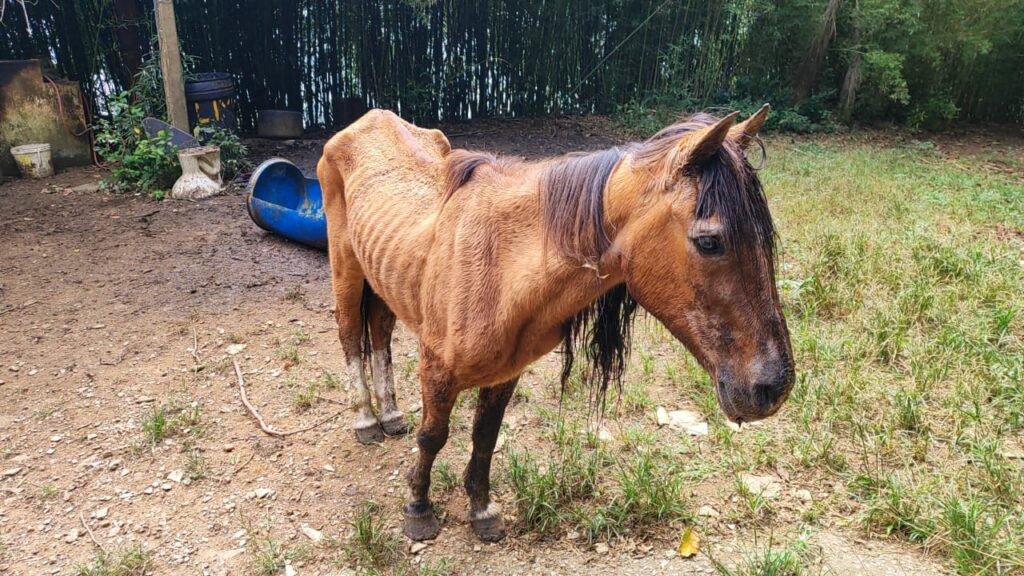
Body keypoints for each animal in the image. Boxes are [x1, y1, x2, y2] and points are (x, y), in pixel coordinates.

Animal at [316, 105, 794, 543]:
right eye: (709, 242)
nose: (774, 387)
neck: (501, 265)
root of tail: (369, 119)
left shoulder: (504, 374)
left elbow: (484, 438)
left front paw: (482, 511)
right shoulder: (436, 369)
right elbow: (433, 436)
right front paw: (418, 509)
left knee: (379, 333)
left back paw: (390, 414)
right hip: (347, 268)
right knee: (350, 336)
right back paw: (366, 421)